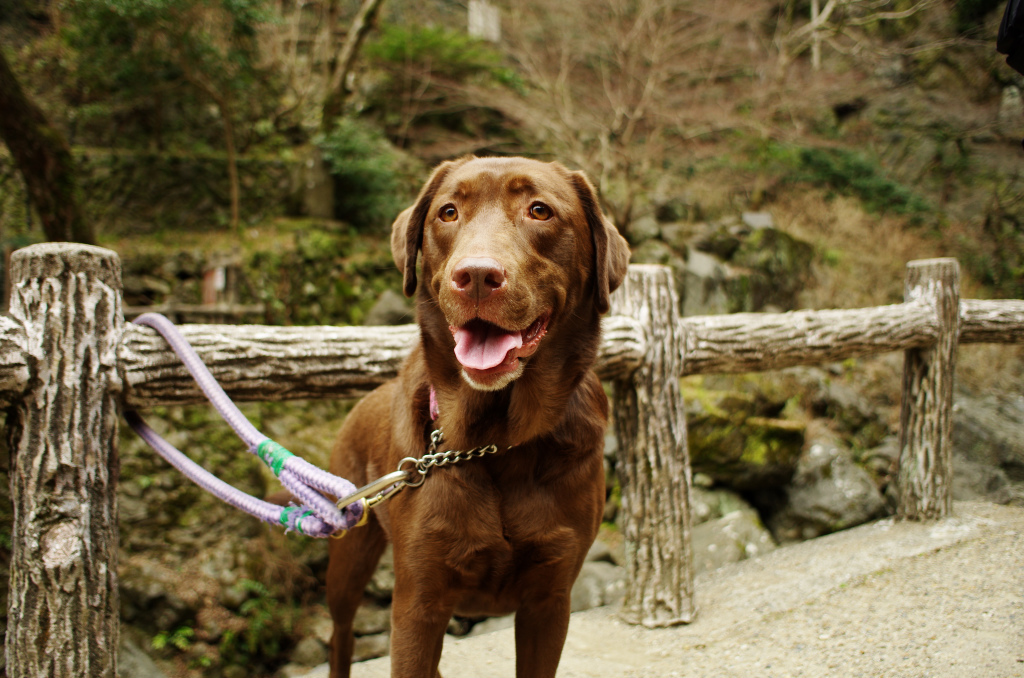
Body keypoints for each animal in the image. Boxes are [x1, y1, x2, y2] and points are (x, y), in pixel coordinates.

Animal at [327, 156, 630, 675]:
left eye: (539, 210)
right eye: (448, 212)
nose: (476, 276)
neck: (496, 440)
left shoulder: (551, 599)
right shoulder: (417, 603)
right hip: (348, 556)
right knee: (341, 634)